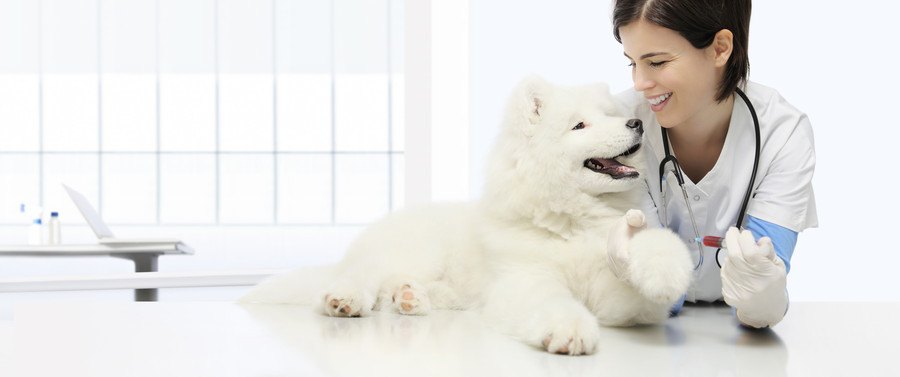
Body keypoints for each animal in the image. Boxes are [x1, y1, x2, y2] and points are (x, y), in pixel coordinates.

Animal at [241, 75, 696, 352]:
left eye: (611, 115)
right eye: (580, 125)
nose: (637, 123)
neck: (572, 222)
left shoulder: (614, 294)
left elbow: (645, 260)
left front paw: (666, 271)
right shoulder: (524, 280)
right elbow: (552, 302)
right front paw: (569, 330)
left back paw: (411, 297)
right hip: (412, 250)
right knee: (359, 277)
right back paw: (347, 299)